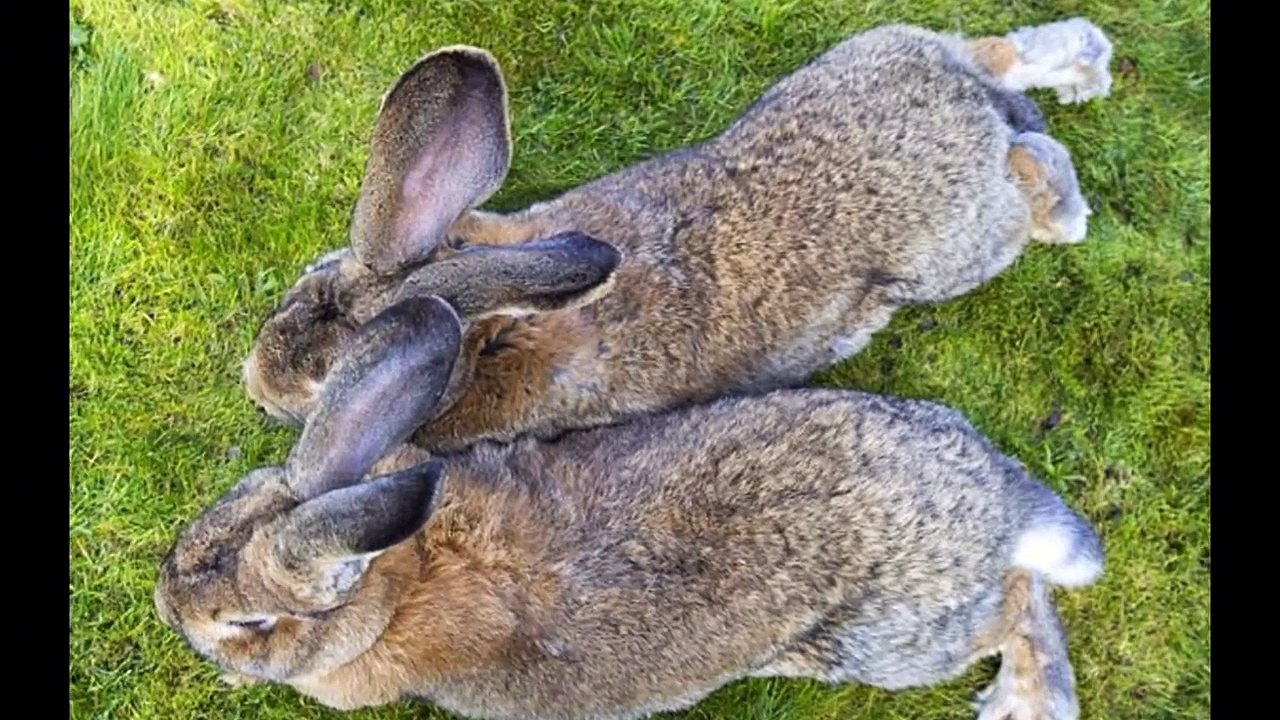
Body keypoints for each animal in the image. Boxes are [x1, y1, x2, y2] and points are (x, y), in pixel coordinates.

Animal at [160, 294, 1105, 720]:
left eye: (246, 624)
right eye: (226, 504)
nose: (167, 606)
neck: (400, 576)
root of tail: (998, 502)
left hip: (890, 642)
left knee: (1021, 603)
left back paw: (1023, 697)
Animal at [240, 17, 1114, 452]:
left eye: (326, 384)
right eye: (303, 283)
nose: (254, 384)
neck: (487, 330)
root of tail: (968, 106)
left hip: (963, 246)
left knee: (1030, 170)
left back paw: (1069, 208)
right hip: (897, 52)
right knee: (1003, 55)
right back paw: (1085, 69)